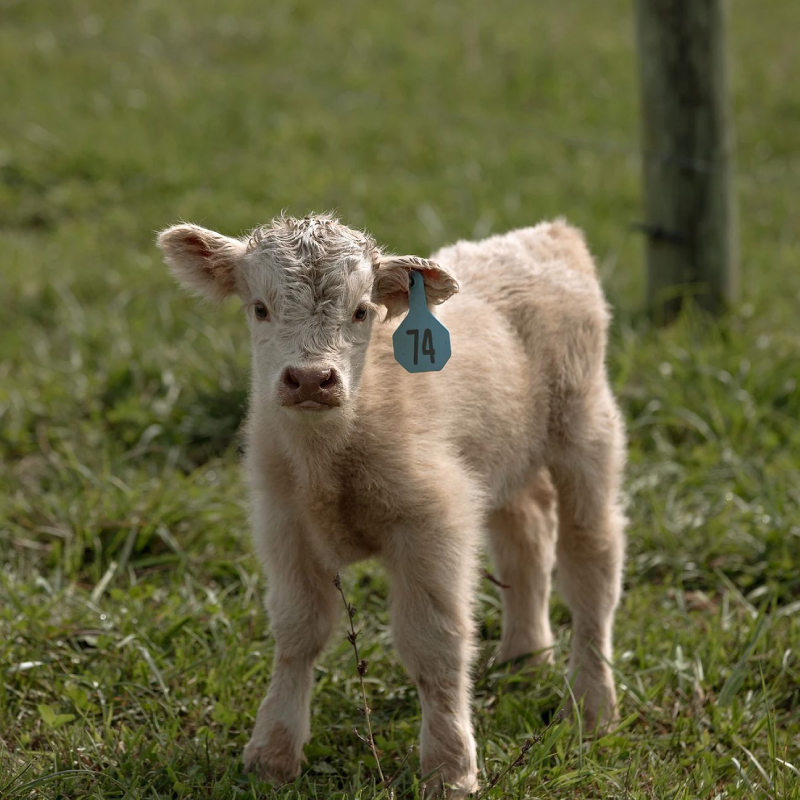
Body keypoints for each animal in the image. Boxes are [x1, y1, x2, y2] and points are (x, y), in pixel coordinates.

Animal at [159, 212, 628, 792]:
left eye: (361, 310)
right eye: (259, 308)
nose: (310, 379)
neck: (329, 457)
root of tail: (548, 234)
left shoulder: (434, 522)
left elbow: (434, 643)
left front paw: (450, 770)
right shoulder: (282, 523)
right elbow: (297, 631)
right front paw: (271, 754)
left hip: (587, 429)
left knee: (591, 562)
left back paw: (591, 708)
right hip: (502, 454)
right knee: (527, 535)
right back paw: (524, 657)